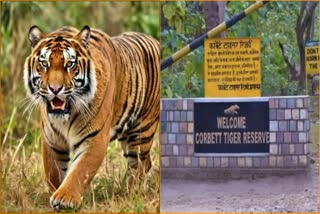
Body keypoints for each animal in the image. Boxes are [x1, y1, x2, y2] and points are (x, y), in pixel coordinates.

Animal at [22, 25, 160, 211]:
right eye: (44, 64)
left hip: (141, 132)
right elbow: (53, 171)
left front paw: (65, 198)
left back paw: (129, 193)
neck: (65, 115)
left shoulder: (94, 138)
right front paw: (55, 194)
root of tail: (155, 41)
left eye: (69, 64)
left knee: (139, 165)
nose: (55, 89)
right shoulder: (52, 140)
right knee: (145, 163)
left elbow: (80, 171)